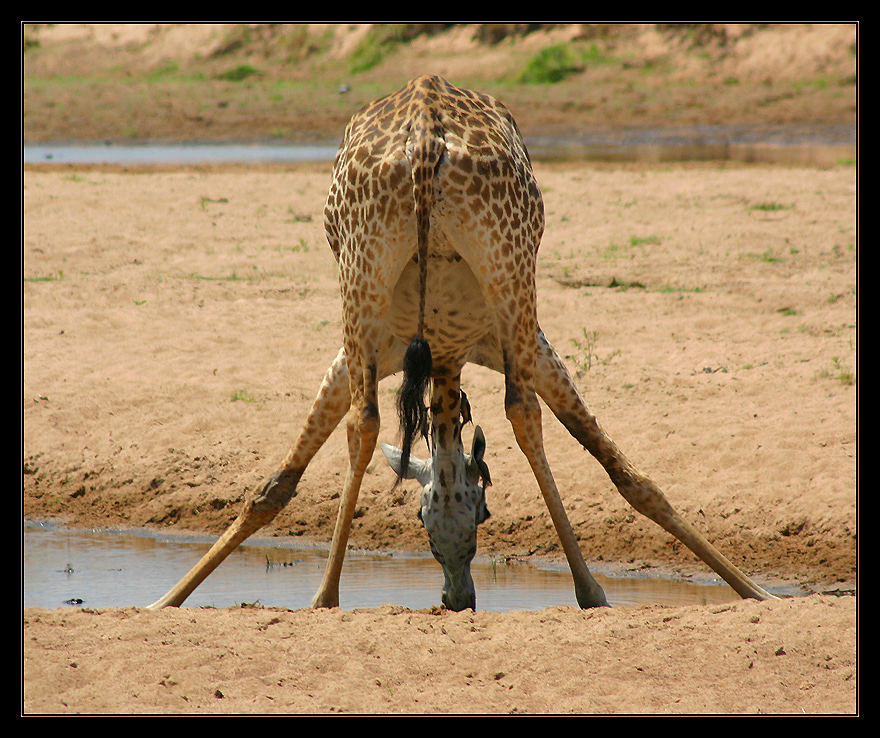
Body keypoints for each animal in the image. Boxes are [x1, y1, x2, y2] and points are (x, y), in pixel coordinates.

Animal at [148, 75, 780, 612]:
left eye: (480, 516)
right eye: (427, 523)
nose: (457, 599)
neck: (447, 349)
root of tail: (426, 133)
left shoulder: (384, 350)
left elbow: (630, 477)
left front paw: (758, 593)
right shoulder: (486, 344)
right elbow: (274, 486)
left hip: (371, 279)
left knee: (371, 419)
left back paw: (326, 596)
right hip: (502, 274)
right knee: (514, 411)